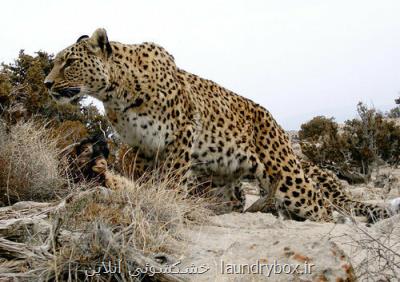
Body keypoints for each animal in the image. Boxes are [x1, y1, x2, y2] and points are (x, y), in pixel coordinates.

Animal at [46, 28, 396, 223]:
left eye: (70, 62)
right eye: (56, 62)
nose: (47, 83)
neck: (117, 93)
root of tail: (277, 124)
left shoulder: (180, 135)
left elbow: (171, 178)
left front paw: (166, 201)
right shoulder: (139, 146)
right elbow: (142, 178)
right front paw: (144, 198)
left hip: (285, 174)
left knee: (321, 205)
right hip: (223, 178)